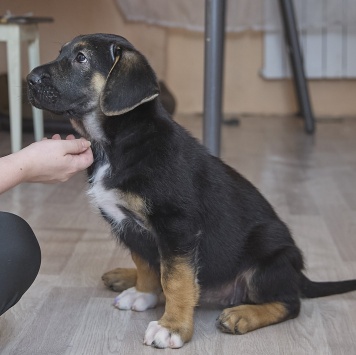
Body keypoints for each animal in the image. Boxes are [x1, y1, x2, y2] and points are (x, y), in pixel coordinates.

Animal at [27, 34, 356, 350]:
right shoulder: (132, 227)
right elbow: (146, 263)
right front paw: (144, 293)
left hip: (268, 257)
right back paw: (124, 276)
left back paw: (243, 315)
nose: (28, 79)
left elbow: (176, 280)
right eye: (61, 53)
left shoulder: (176, 227)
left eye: (81, 58)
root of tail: (298, 273)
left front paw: (172, 328)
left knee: (291, 302)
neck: (116, 142)